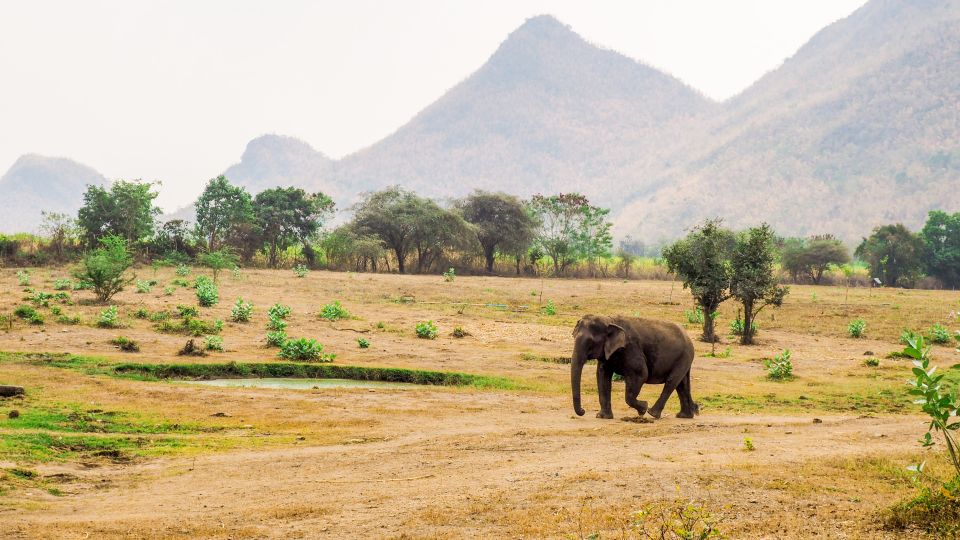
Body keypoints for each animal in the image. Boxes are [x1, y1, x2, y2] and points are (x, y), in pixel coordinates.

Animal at [568, 314, 696, 420]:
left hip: (684, 357)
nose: (583, 411)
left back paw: (652, 413)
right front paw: (602, 417)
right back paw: (684, 416)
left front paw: (643, 408)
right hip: (683, 359)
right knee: (682, 384)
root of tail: (688, 337)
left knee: (671, 382)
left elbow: (641, 374)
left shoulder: (631, 348)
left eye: (590, 342)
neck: (610, 320)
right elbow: (602, 376)